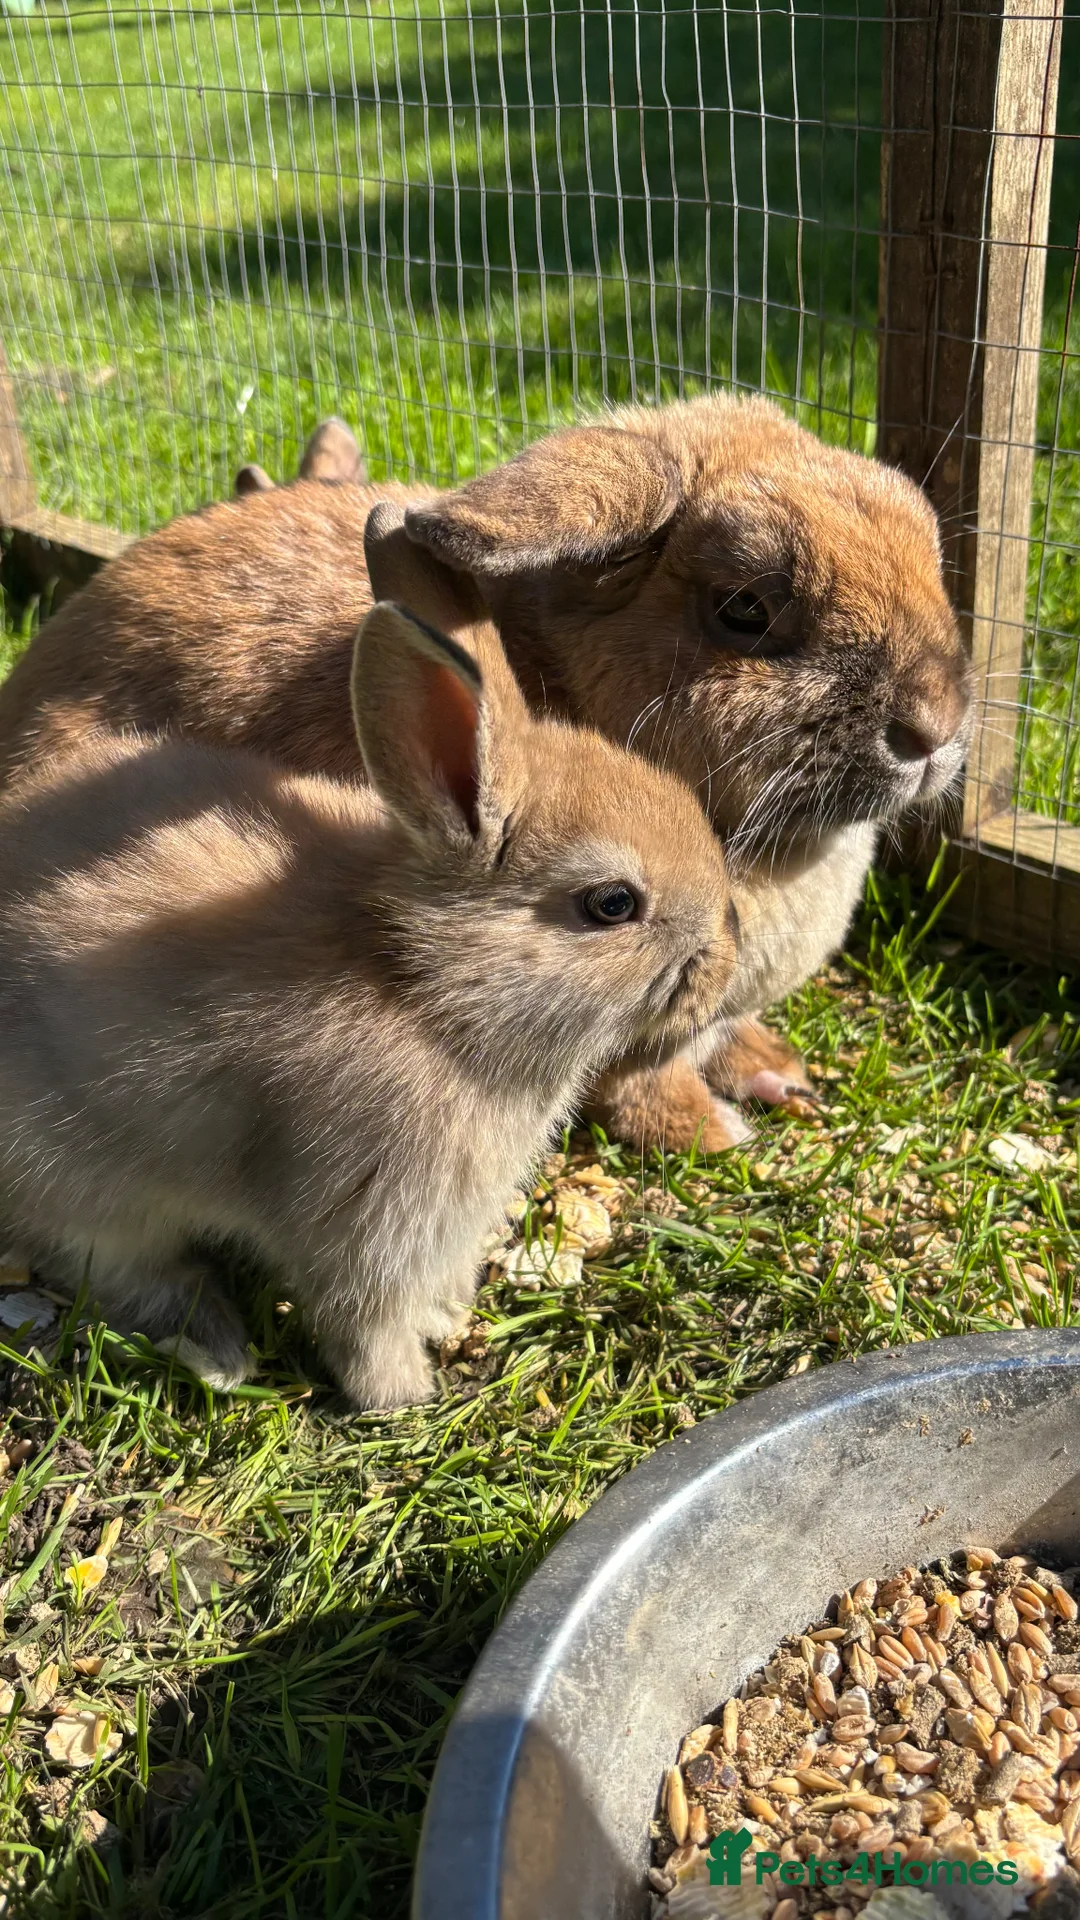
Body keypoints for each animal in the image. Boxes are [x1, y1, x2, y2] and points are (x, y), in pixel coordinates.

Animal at [0, 603, 738, 1408]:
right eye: (612, 904)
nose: (727, 968)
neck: (421, 985)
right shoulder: (366, 1225)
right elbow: (362, 1320)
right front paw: (402, 1396)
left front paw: (448, 1316)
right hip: (86, 1185)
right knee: (117, 1266)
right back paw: (219, 1349)